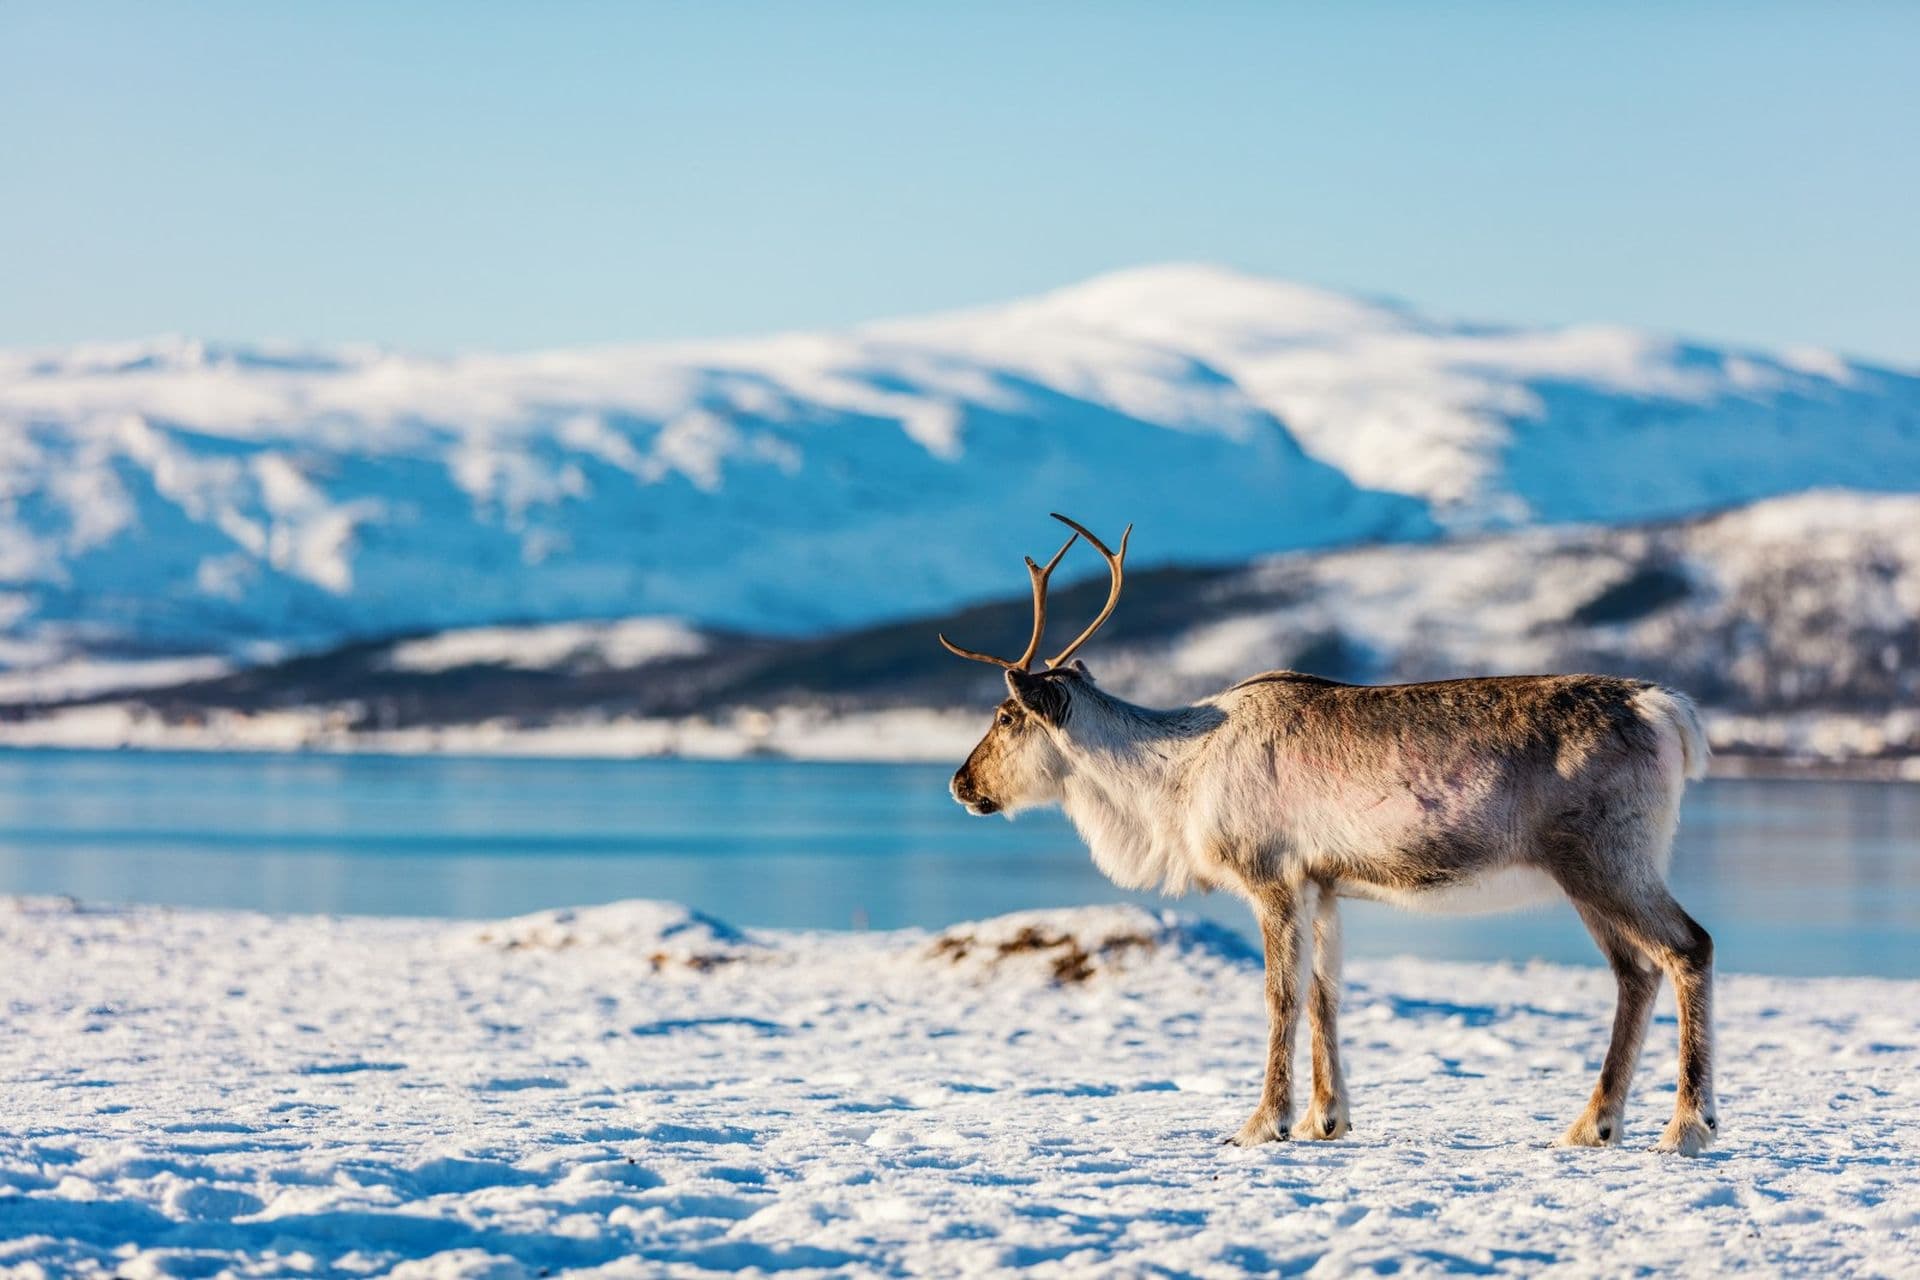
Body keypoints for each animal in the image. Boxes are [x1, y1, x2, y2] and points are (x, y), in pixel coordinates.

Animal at [942, 514, 1718, 1155]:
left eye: (1006, 717)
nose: (959, 782)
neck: (1175, 783)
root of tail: (1668, 711)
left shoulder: (1271, 877)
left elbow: (1280, 995)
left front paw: (1262, 1123)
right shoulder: (1324, 884)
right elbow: (1325, 993)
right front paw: (1327, 1119)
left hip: (1607, 860)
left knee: (1688, 947)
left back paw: (1685, 1126)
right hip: (1592, 874)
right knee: (1635, 971)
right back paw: (1593, 1124)